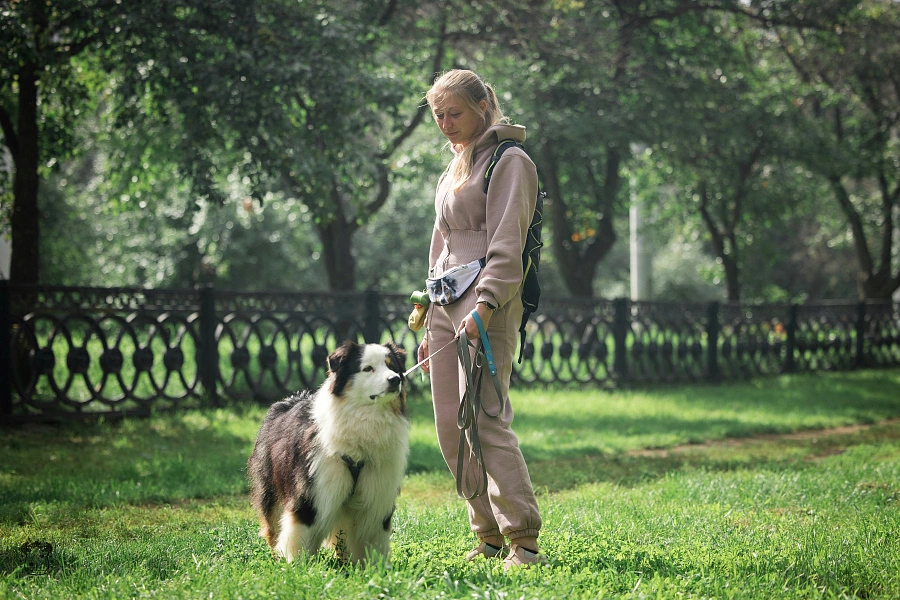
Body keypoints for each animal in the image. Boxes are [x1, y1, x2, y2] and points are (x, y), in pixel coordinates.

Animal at [250, 340, 412, 564]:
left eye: (392, 366)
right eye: (368, 368)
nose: (395, 379)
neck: (366, 416)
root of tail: (288, 400)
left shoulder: (377, 494)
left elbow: (375, 537)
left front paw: (376, 567)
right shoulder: (311, 491)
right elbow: (300, 532)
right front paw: (296, 566)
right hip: (271, 485)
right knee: (272, 526)